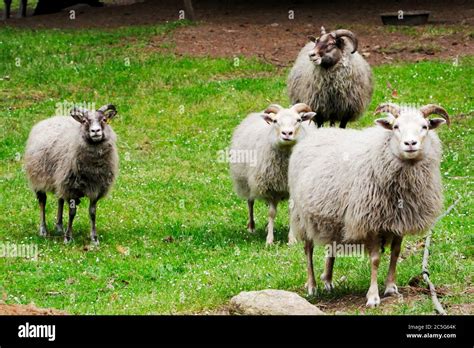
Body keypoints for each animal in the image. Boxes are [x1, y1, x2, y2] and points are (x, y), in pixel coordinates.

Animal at [25, 103, 119, 245]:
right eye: (84, 121)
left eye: (103, 119)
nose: (95, 131)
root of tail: (50, 119)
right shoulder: (71, 188)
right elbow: (72, 213)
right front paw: (68, 237)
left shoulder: (95, 189)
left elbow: (92, 212)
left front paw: (94, 238)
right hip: (38, 178)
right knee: (42, 201)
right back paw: (43, 230)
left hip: (60, 179)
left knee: (60, 199)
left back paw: (59, 226)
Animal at [230, 103, 314, 245]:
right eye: (275, 121)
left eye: (298, 120)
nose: (287, 133)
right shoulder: (270, 189)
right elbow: (271, 213)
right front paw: (269, 240)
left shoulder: (292, 188)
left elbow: (291, 211)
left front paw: (292, 240)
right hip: (247, 182)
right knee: (250, 202)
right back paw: (251, 227)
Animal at [286, 102, 450, 306]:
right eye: (395, 127)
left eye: (425, 126)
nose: (410, 144)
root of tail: (317, 133)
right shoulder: (369, 221)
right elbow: (375, 259)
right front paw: (373, 297)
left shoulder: (400, 220)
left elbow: (395, 253)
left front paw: (391, 287)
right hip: (302, 216)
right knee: (308, 250)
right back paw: (312, 286)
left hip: (332, 217)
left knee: (331, 247)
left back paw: (328, 281)